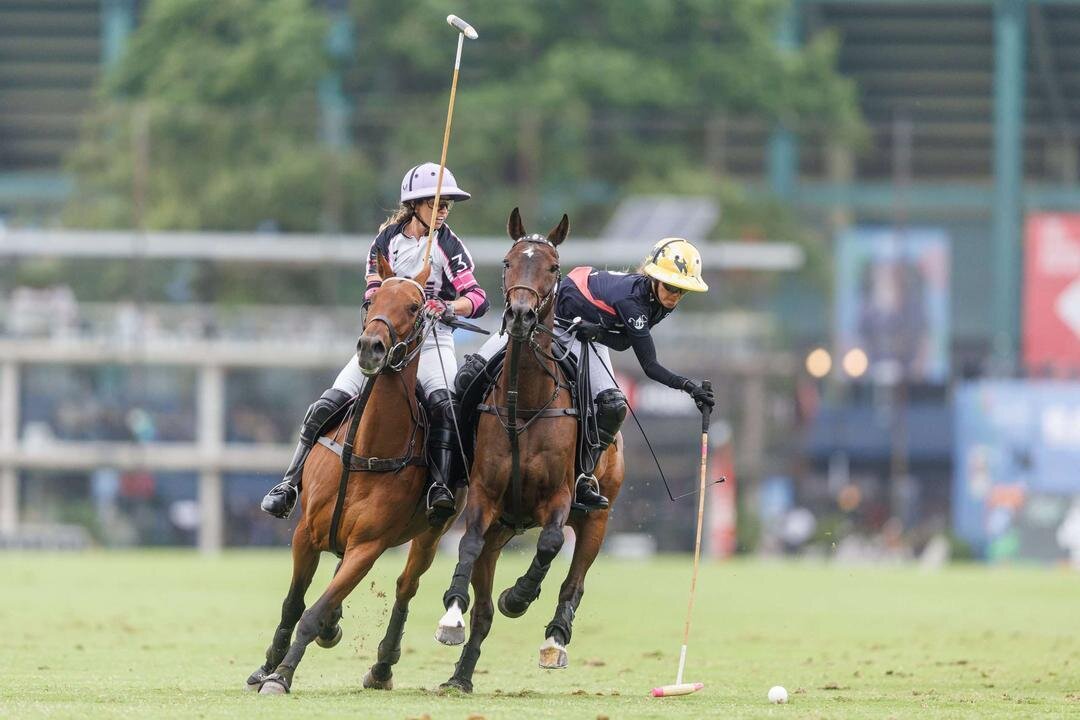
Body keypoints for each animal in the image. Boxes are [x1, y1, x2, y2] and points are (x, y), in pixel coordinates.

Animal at [247, 255, 466, 695]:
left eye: (415, 307)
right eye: (372, 300)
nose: (370, 348)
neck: (363, 451)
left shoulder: (369, 545)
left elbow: (313, 611)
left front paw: (282, 676)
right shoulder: (306, 532)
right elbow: (294, 603)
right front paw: (267, 666)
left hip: (434, 531)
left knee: (406, 586)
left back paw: (381, 667)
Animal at [434, 209, 630, 690]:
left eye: (553, 267)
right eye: (507, 262)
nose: (521, 315)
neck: (523, 404)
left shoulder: (559, 497)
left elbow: (551, 543)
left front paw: (518, 597)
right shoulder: (485, 495)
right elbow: (467, 544)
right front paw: (452, 613)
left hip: (597, 515)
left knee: (574, 579)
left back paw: (555, 638)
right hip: (503, 525)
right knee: (484, 603)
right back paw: (461, 676)